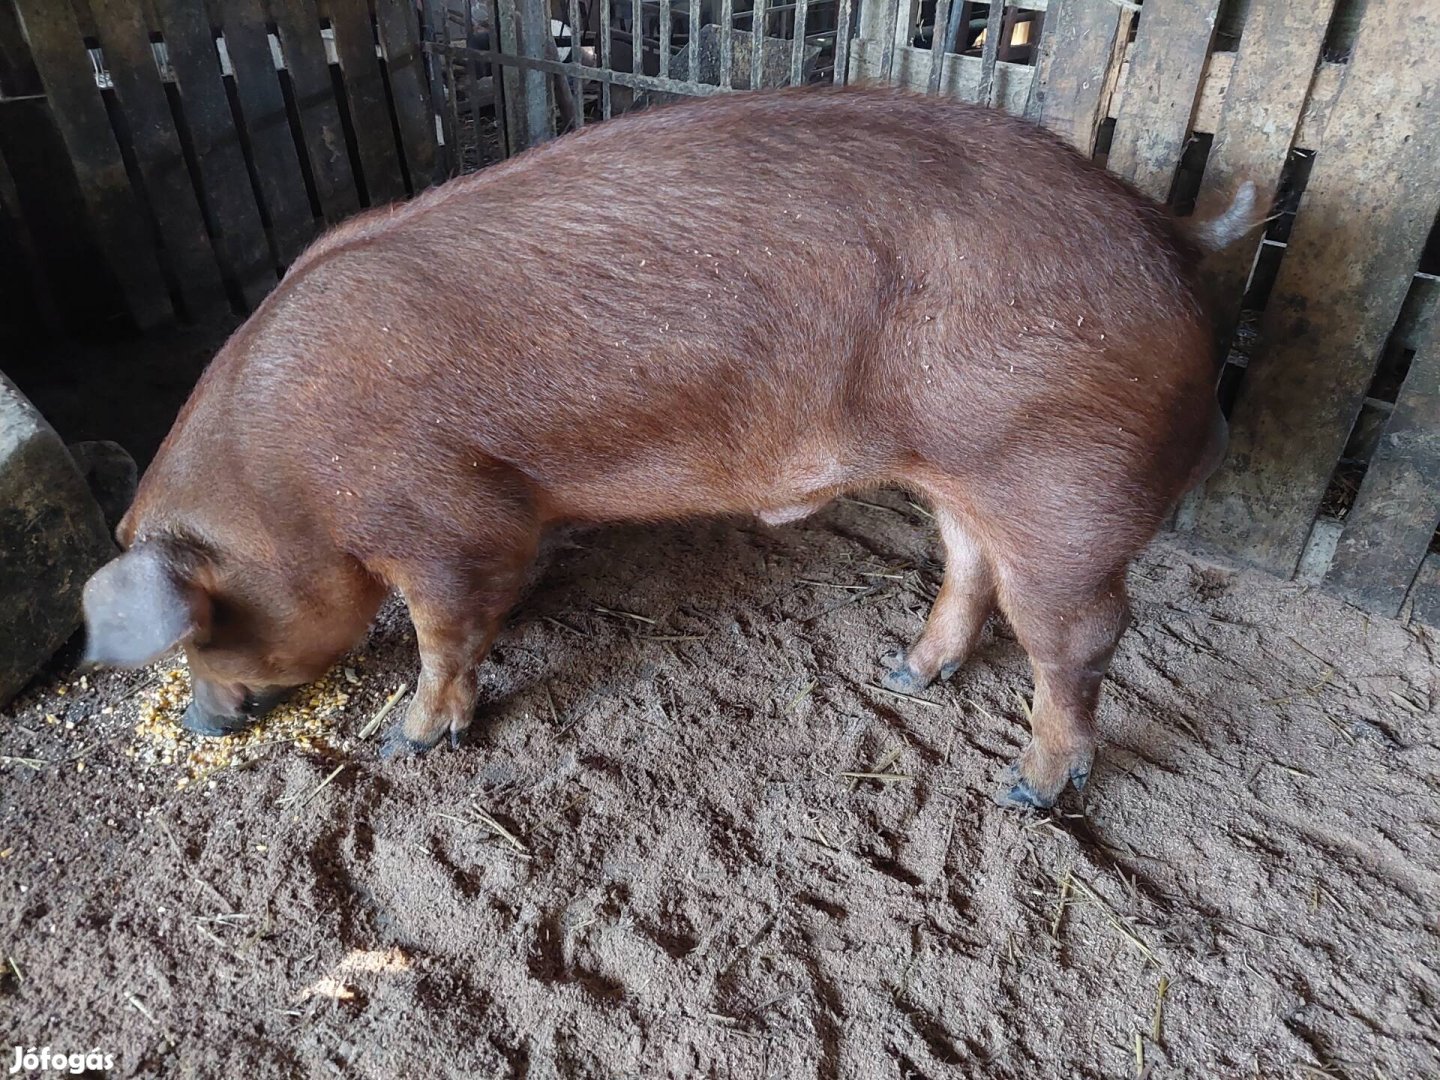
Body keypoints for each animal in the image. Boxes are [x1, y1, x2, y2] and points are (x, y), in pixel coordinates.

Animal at [84, 86, 1267, 812]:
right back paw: (902, 673)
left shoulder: (441, 520)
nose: (198, 722)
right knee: (971, 569)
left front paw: (411, 742)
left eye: (204, 629)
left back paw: (1031, 790)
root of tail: (1171, 232)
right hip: (969, 475)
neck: (283, 486)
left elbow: (446, 634)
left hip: (1062, 486)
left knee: (1081, 639)